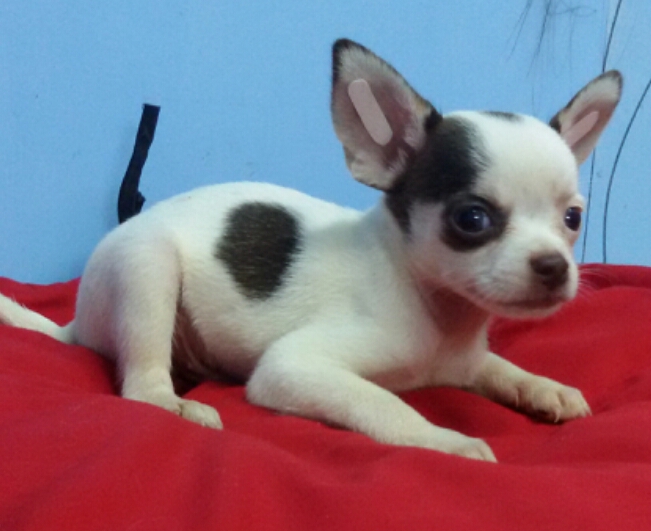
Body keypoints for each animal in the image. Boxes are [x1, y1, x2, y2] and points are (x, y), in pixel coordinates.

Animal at [0, 39, 622, 461]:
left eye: (573, 219)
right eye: (472, 219)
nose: (554, 267)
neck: (441, 318)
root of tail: (76, 325)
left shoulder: (465, 362)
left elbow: (500, 367)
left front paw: (543, 388)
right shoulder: (294, 370)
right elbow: (385, 404)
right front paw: (445, 440)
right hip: (146, 269)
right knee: (141, 385)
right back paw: (175, 401)